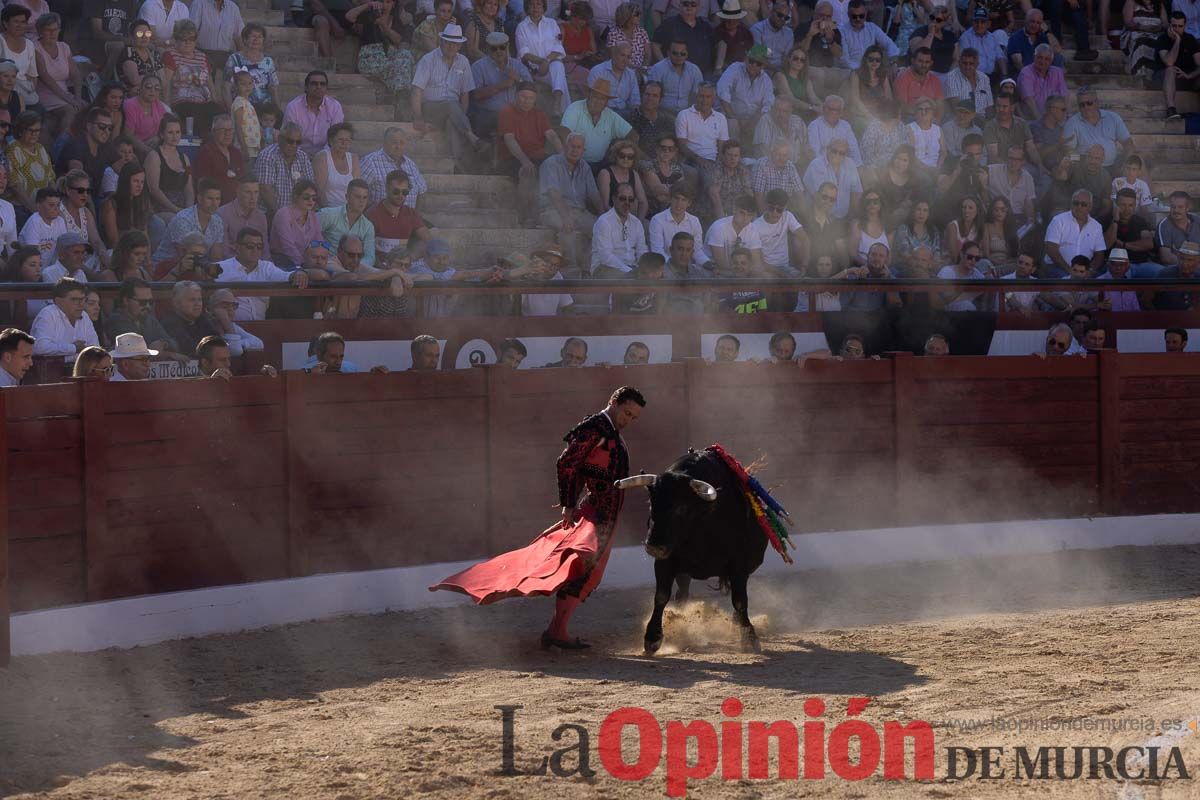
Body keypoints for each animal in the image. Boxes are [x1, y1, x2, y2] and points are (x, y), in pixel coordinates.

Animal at [619, 448, 768, 652]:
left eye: (681, 508)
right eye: (651, 504)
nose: (653, 546)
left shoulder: (739, 565)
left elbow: (739, 600)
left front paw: (750, 637)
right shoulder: (665, 561)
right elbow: (661, 596)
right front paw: (652, 637)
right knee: (682, 592)